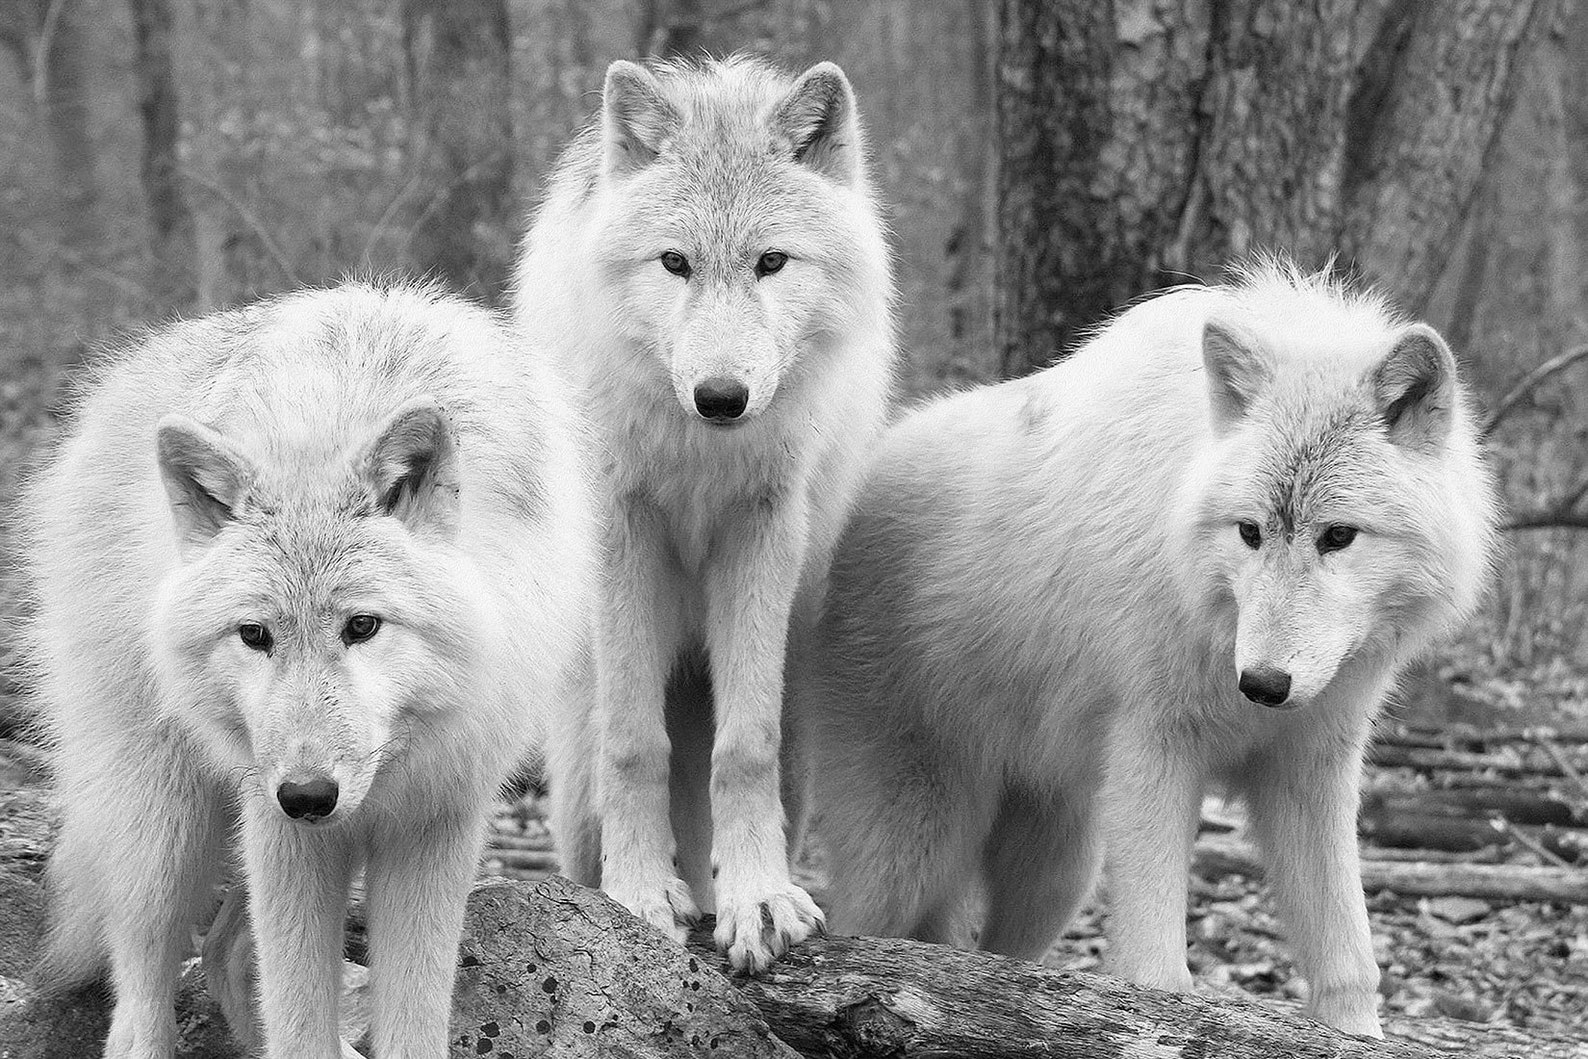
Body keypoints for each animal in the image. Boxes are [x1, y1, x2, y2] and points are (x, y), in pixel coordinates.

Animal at [20, 282, 594, 1059]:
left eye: (362, 626)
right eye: (255, 635)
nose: (308, 794)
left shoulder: (434, 827)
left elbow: (412, 1021)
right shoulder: (284, 832)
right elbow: (297, 1022)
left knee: (227, 954)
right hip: (166, 829)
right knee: (142, 982)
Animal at [513, 55, 895, 970]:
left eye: (772, 261)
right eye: (675, 263)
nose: (721, 396)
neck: (699, 451)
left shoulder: (762, 530)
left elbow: (743, 749)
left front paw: (757, 903)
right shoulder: (625, 531)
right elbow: (634, 744)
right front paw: (639, 895)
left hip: (792, 714)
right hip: (576, 760)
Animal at [800, 261, 1499, 1036]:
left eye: (1338, 535)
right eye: (1250, 531)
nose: (1262, 684)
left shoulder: (1309, 765)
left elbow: (1349, 957)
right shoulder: (1154, 747)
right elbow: (1155, 971)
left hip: (1060, 868)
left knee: (995, 956)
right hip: (914, 849)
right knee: (859, 933)